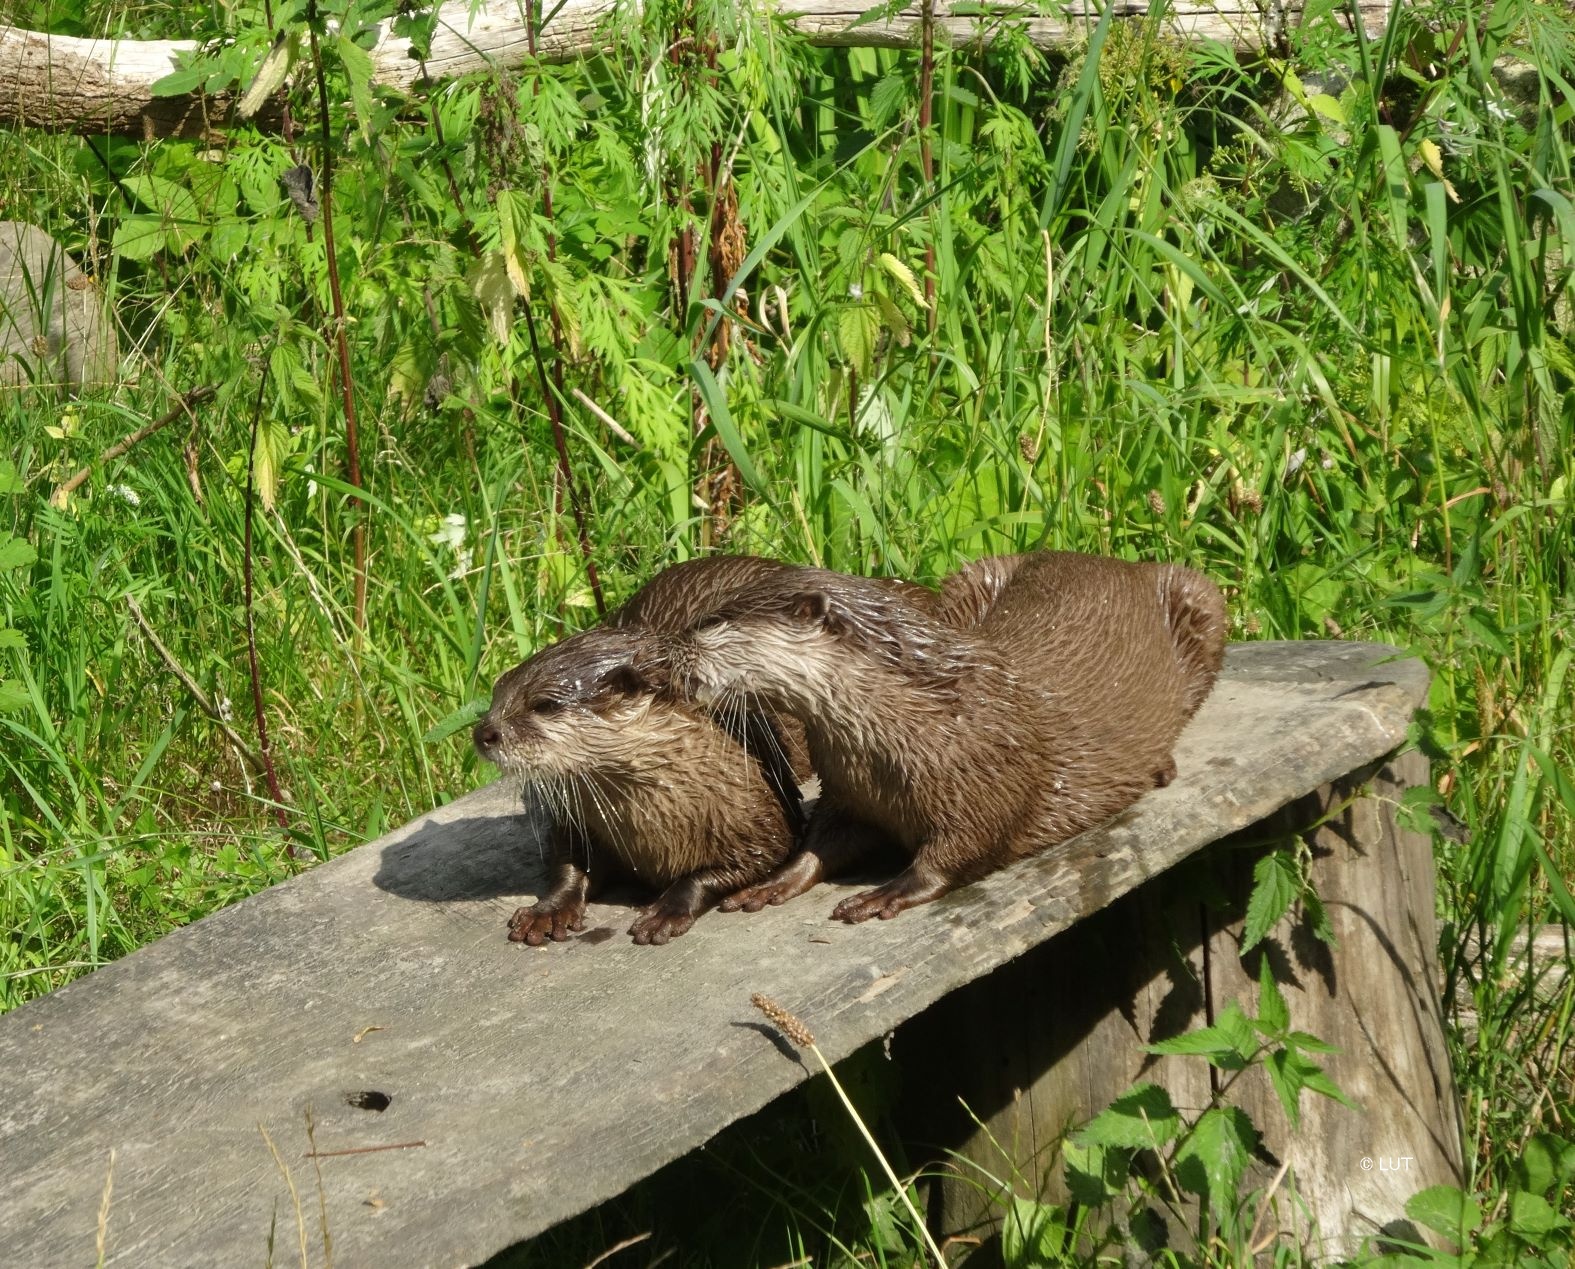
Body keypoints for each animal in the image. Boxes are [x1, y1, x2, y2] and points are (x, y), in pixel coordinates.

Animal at [670, 554, 1222, 925]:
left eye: (713, 622)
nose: (669, 652)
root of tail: (1115, 560)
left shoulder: (989, 770)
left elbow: (963, 848)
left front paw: (887, 894)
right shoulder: (845, 789)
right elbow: (821, 843)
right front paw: (774, 882)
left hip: (1202, 596)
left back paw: (1163, 765)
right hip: (970, 578)